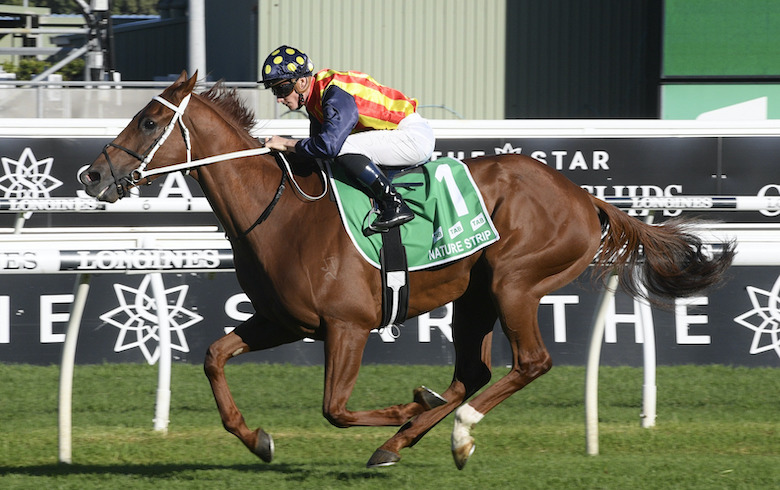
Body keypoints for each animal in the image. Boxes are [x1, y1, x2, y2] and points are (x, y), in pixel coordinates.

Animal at [79, 72, 732, 468]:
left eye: (146, 121)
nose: (91, 175)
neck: (281, 210)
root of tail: (581, 196)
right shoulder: (283, 320)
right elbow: (214, 357)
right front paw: (258, 440)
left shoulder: (346, 325)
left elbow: (336, 409)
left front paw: (408, 405)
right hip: (474, 297)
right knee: (473, 371)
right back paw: (402, 442)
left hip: (514, 282)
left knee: (528, 363)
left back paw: (456, 431)